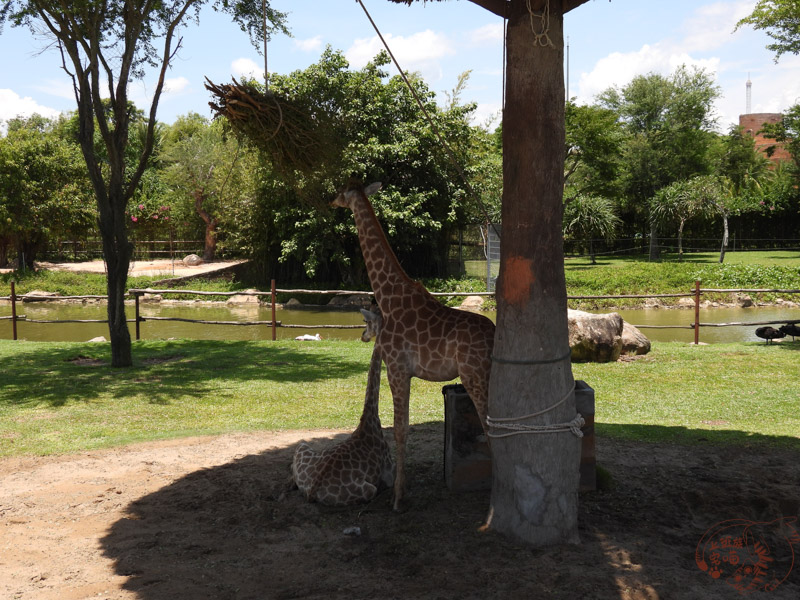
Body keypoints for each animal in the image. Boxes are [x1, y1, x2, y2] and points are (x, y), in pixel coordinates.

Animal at [292, 310, 396, 506]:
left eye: (367, 323)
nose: (363, 336)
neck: (370, 417)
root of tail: (312, 491)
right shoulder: (388, 474)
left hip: (301, 447)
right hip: (369, 490)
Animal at [330, 183, 494, 510]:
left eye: (343, 192)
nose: (331, 201)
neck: (388, 295)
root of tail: (496, 334)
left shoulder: (396, 368)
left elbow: (400, 429)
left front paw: (397, 498)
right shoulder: (404, 371)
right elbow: (402, 426)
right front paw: (401, 492)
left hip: (474, 375)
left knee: (490, 425)